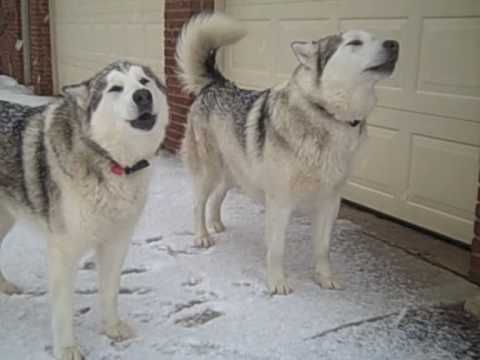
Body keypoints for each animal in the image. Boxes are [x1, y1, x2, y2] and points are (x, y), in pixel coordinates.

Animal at [0, 61, 169, 358]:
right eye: (115, 88)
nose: (142, 96)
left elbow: (110, 292)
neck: (111, 160)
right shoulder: (63, 251)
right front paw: (67, 348)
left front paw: (112, 328)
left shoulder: (116, 243)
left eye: (144, 81)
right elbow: (63, 310)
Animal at [178, 14, 400, 296]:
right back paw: (202, 236)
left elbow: (323, 249)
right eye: (355, 42)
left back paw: (216, 223)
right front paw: (277, 283)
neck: (329, 115)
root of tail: (217, 83)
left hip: (234, 173)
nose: (394, 44)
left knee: (217, 197)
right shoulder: (280, 202)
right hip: (208, 171)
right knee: (198, 204)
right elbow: (277, 249)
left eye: (376, 37)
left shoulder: (330, 202)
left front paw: (325, 278)